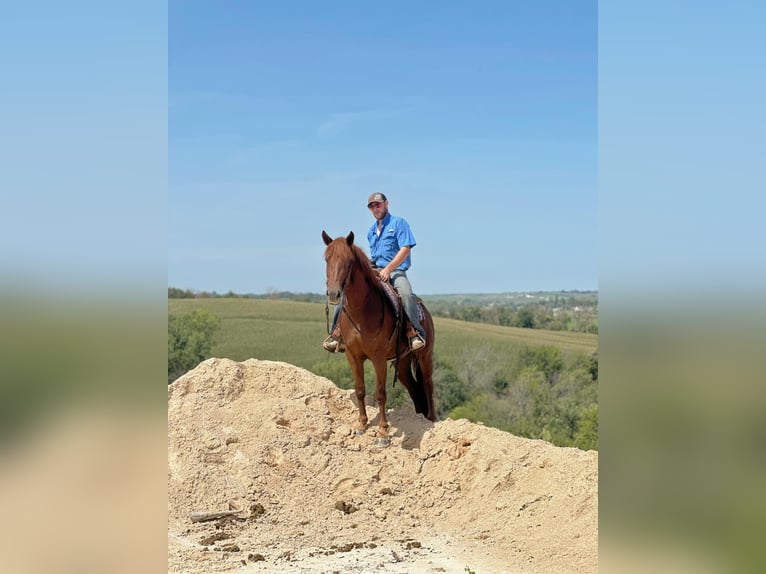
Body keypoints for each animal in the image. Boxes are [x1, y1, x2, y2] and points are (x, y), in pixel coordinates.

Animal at [322, 230, 436, 446]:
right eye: (326, 259)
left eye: (349, 261)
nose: (334, 294)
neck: (362, 311)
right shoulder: (353, 355)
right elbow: (360, 390)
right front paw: (361, 424)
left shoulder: (378, 358)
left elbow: (381, 394)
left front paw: (383, 433)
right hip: (402, 363)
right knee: (414, 388)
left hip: (424, 356)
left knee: (427, 384)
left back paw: (432, 419)